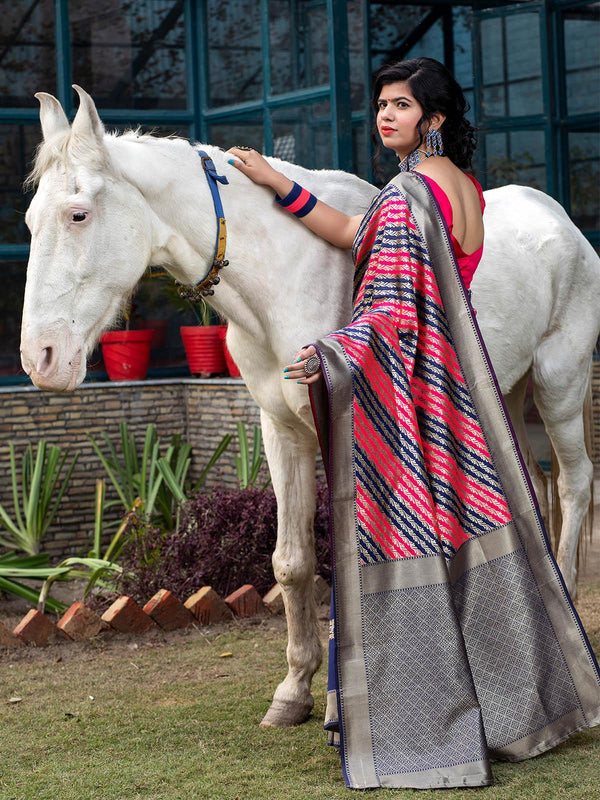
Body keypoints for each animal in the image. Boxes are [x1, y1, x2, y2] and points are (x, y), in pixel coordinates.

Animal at [19, 86, 600, 724]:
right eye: (29, 221)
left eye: (78, 214)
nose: (40, 358)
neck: (283, 275)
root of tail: (563, 223)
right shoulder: (281, 430)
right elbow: (292, 561)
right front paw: (295, 689)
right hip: (509, 394)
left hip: (559, 383)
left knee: (574, 483)